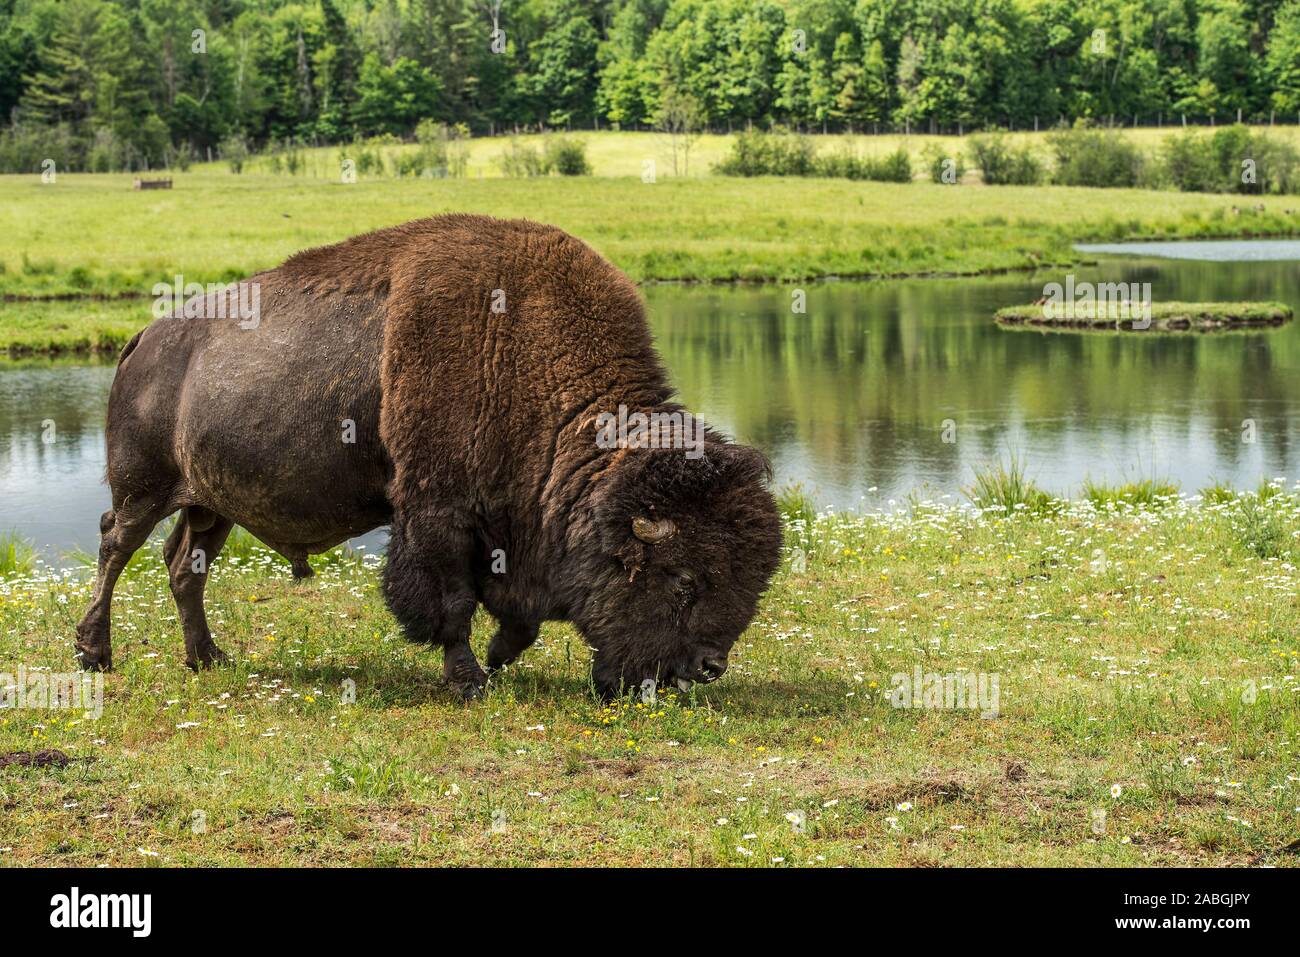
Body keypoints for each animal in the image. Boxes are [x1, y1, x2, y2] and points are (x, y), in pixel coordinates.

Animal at [78, 214, 780, 696]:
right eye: (683, 577)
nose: (707, 668)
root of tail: (143, 339)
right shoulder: (438, 513)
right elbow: (451, 599)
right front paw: (469, 677)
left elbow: (516, 613)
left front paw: (498, 657)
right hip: (143, 488)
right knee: (116, 545)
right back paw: (95, 653)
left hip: (210, 503)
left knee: (183, 566)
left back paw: (207, 659)